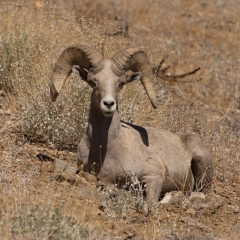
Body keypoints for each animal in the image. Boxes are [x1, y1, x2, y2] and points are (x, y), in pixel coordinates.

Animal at [49, 45, 213, 202]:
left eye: (120, 84)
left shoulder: (154, 176)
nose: (109, 104)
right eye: (93, 82)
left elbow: (149, 203)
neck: (108, 149)